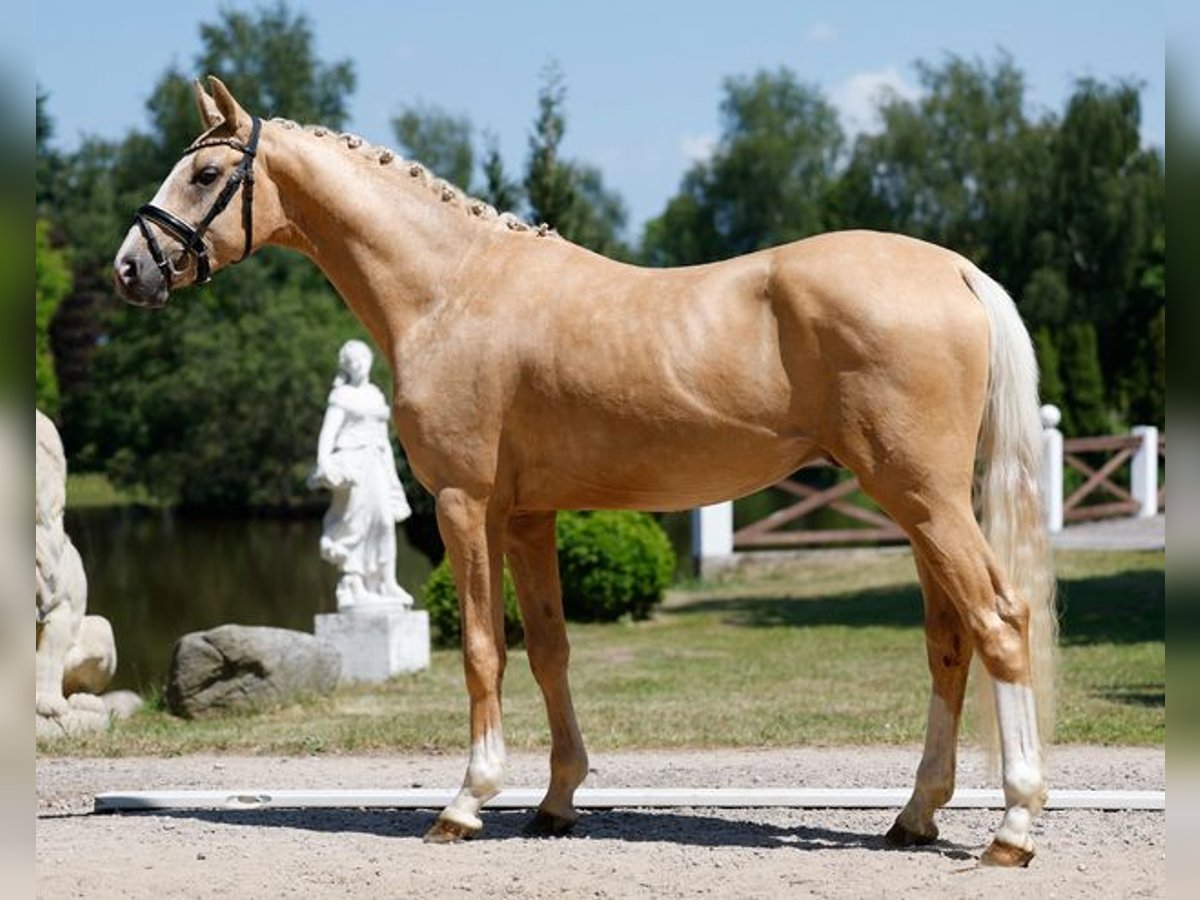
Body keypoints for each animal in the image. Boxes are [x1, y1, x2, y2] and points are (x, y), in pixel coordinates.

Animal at [110, 77, 1051, 868]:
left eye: (205, 172)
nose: (128, 268)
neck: (453, 289)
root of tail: (953, 268)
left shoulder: (465, 504)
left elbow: (483, 649)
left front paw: (466, 802)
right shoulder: (531, 517)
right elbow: (550, 650)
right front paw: (555, 802)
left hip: (923, 499)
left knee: (1000, 620)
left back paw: (1011, 827)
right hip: (920, 507)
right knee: (948, 641)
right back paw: (915, 816)